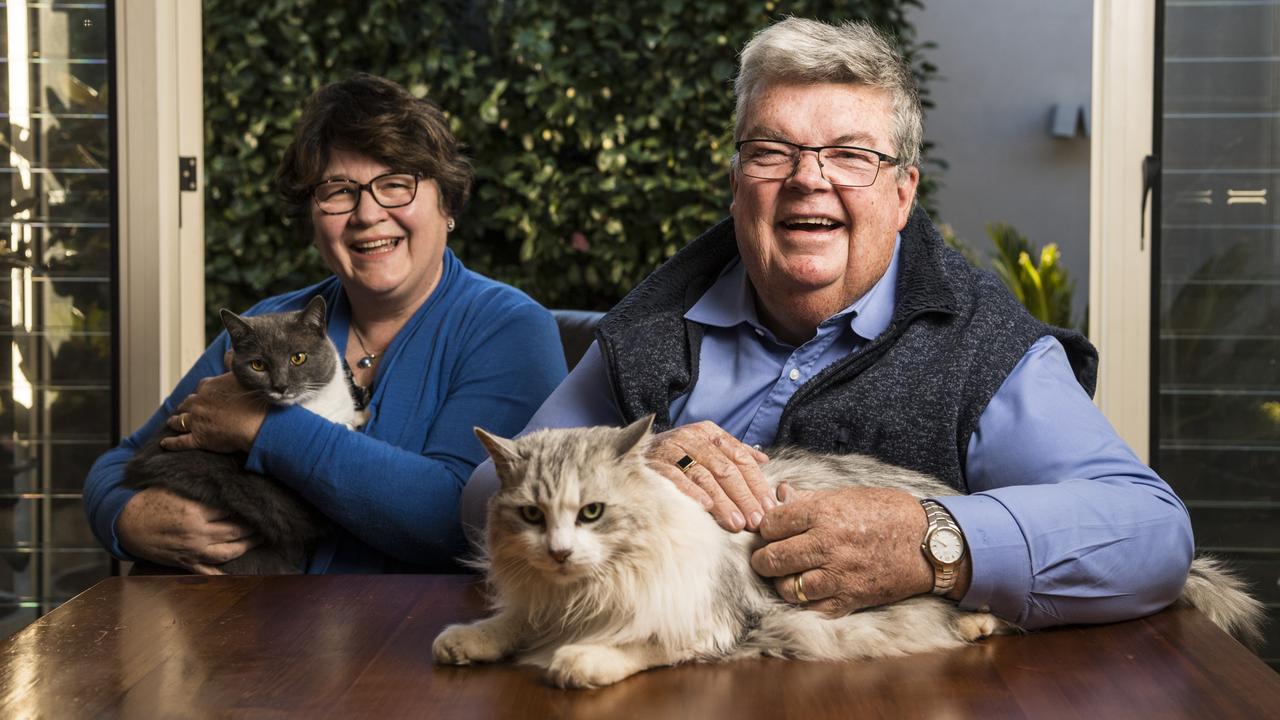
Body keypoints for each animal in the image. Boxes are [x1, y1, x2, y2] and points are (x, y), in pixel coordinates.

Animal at [435, 417, 1264, 686]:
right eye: (532, 515)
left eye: (593, 512)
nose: (560, 552)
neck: (580, 594)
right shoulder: (540, 599)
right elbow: (512, 624)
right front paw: (470, 640)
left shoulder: (720, 622)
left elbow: (638, 644)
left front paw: (580, 660)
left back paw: (976, 625)